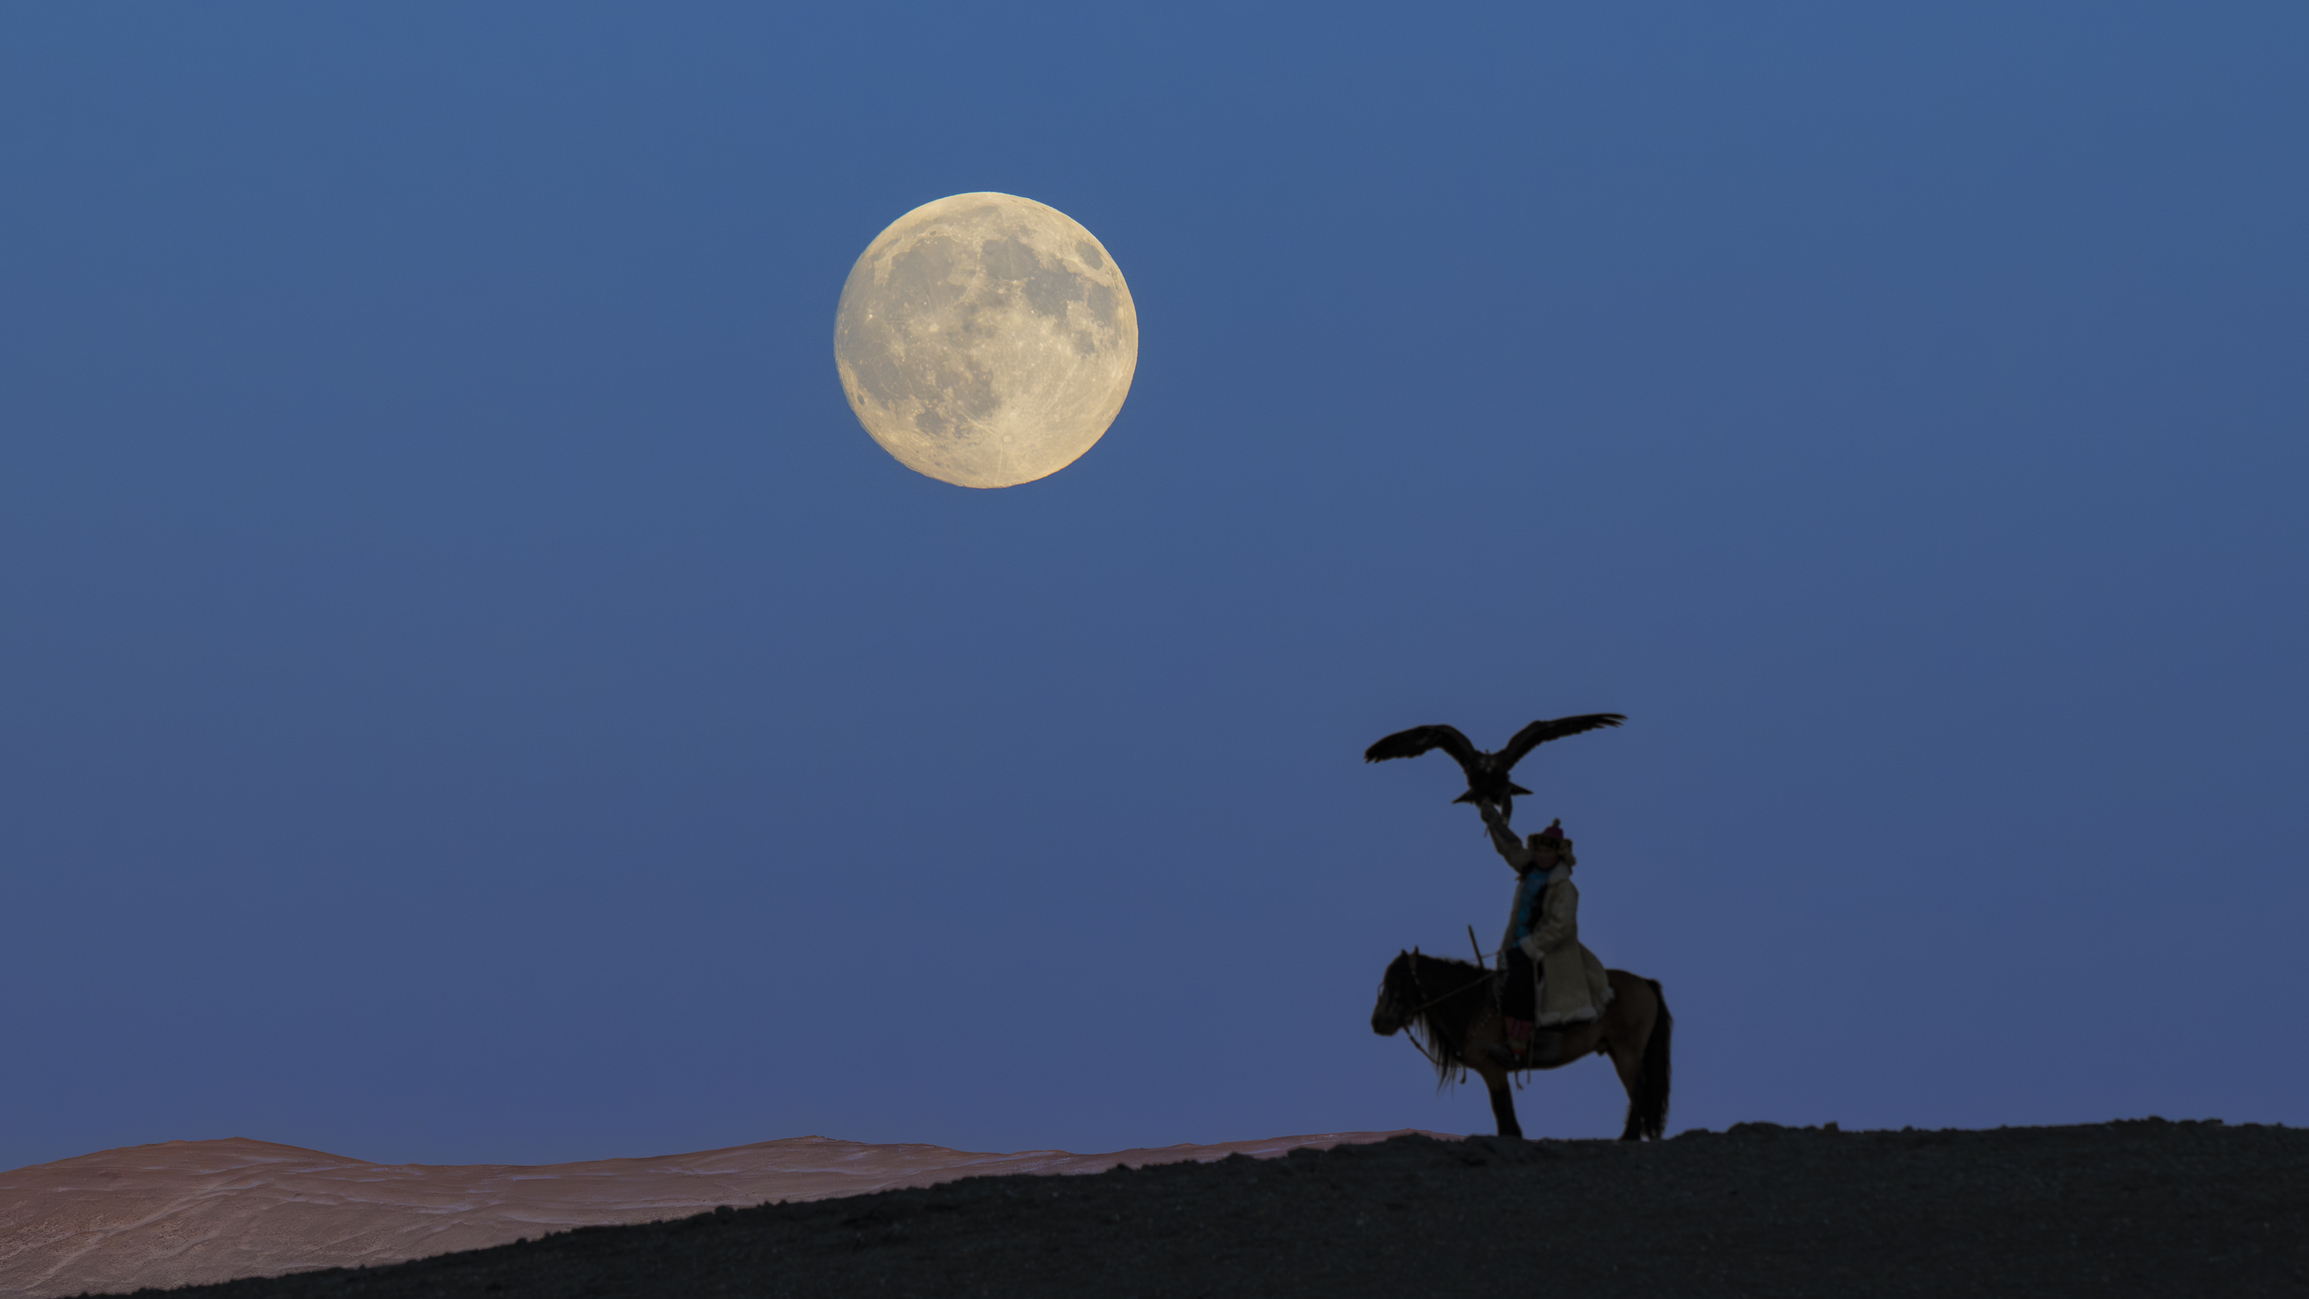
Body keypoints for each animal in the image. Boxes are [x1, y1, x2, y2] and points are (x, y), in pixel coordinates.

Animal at [1370, 948, 1672, 1141]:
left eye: (1399, 981)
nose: (1378, 1022)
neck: (1473, 1003)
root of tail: (1645, 983)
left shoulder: (1492, 1068)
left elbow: (1503, 1111)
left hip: (1627, 1052)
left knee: (1638, 1091)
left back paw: (1628, 1138)